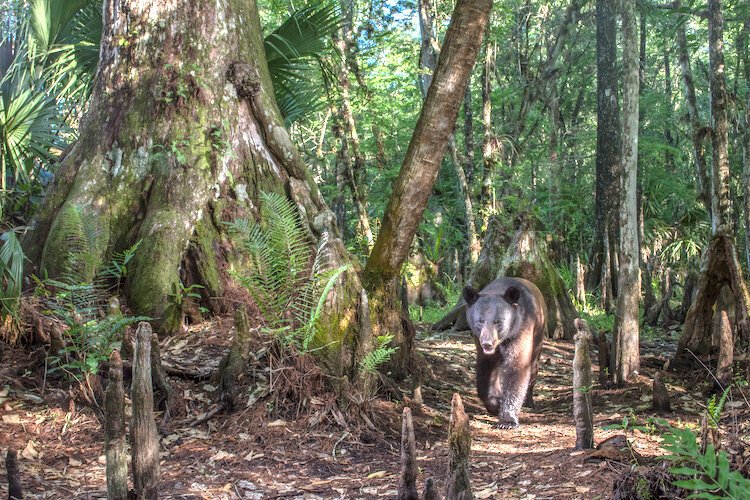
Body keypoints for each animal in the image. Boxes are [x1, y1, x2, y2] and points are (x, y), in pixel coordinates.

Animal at [464, 276, 548, 428]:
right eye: (480, 321)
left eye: (498, 321)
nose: (487, 343)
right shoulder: (480, 343)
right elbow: (485, 370)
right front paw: (494, 404)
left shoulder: (521, 331)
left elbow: (517, 367)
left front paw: (508, 420)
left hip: (539, 333)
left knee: (533, 367)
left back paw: (529, 400)